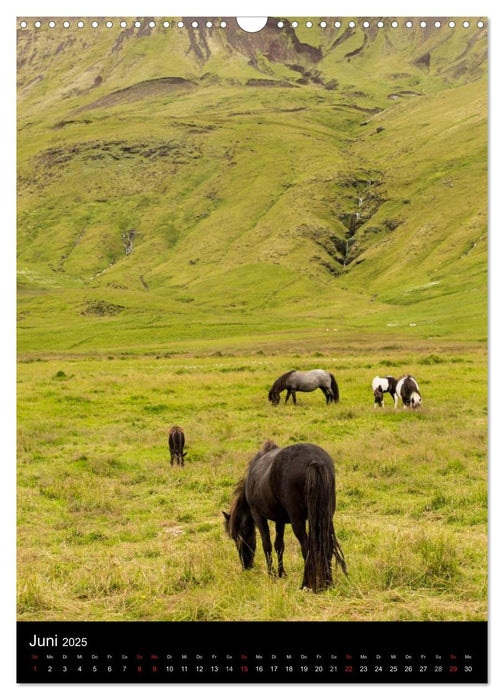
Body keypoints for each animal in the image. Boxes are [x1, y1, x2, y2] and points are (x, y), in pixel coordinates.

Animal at [223, 440, 346, 592]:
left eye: (237, 538)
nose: (246, 566)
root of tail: (314, 460)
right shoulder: (280, 520)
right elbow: (279, 545)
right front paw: (281, 573)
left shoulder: (258, 515)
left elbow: (267, 545)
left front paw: (271, 575)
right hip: (324, 517)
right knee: (325, 546)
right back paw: (328, 583)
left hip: (297, 520)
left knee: (306, 548)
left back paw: (306, 584)